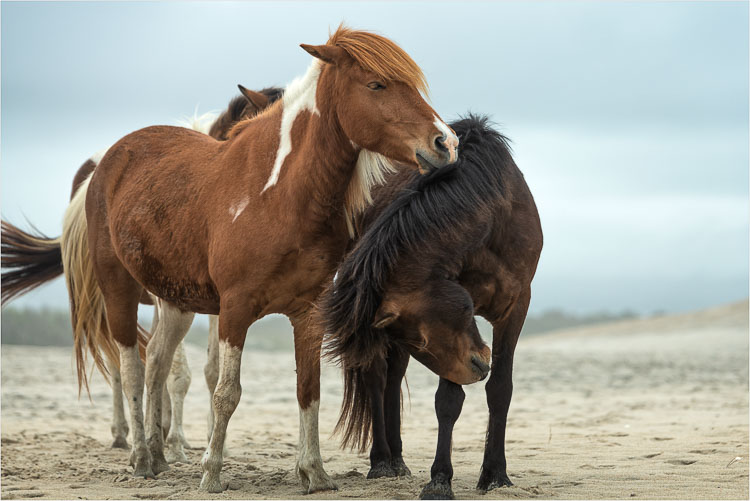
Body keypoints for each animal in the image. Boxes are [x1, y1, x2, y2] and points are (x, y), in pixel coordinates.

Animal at [69, 25, 464, 490]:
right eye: (376, 84)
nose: (446, 142)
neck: (279, 195)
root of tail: (109, 161)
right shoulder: (234, 309)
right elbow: (226, 393)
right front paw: (212, 473)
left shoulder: (308, 312)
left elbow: (308, 389)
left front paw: (314, 472)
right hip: (119, 290)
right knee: (131, 368)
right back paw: (141, 459)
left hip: (175, 302)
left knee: (157, 368)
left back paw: (160, 454)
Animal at [322, 114, 540, 500]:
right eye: (420, 341)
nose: (479, 365)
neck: (493, 215)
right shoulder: (450, 343)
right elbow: (448, 401)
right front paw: (440, 480)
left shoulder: (516, 308)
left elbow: (500, 390)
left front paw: (495, 475)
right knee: (378, 377)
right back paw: (383, 462)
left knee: (393, 378)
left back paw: (398, 460)